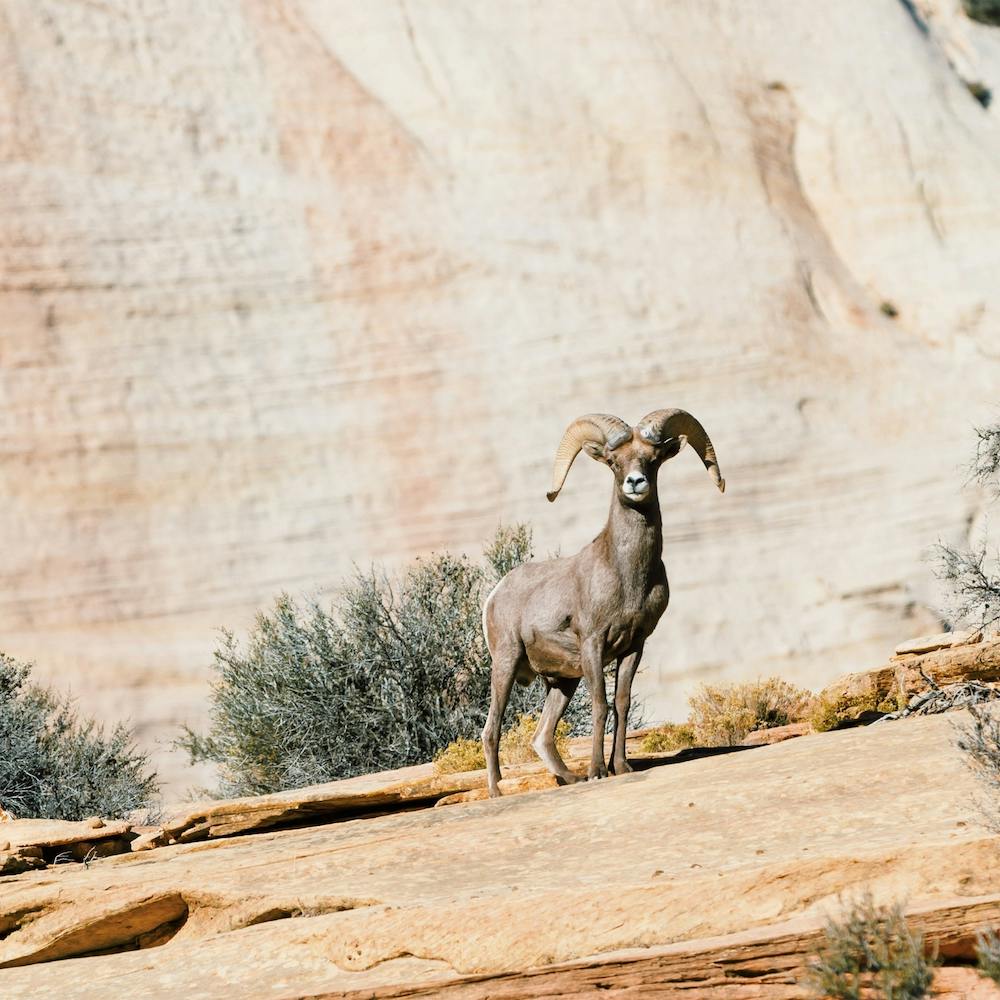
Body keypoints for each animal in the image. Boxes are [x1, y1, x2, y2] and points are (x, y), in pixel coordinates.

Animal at [481, 409, 725, 797]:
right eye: (613, 462)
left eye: (652, 459)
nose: (636, 483)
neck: (627, 575)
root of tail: (495, 594)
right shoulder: (594, 643)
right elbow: (600, 705)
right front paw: (597, 771)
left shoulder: (634, 645)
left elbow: (621, 703)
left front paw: (621, 767)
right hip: (506, 663)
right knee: (491, 730)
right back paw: (497, 792)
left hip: (562, 682)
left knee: (542, 737)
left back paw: (570, 779)